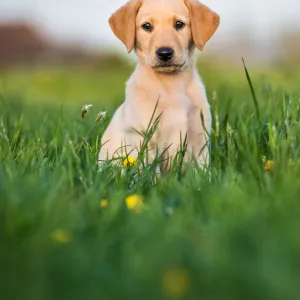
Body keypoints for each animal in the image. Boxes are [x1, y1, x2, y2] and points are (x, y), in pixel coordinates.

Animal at [99, 0, 219, 170]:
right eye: (147, 26)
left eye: (179, 24)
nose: (164, 53)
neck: (171, 85)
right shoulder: (145, 141)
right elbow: (150, 173)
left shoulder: (200, 143)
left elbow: (202, 173)